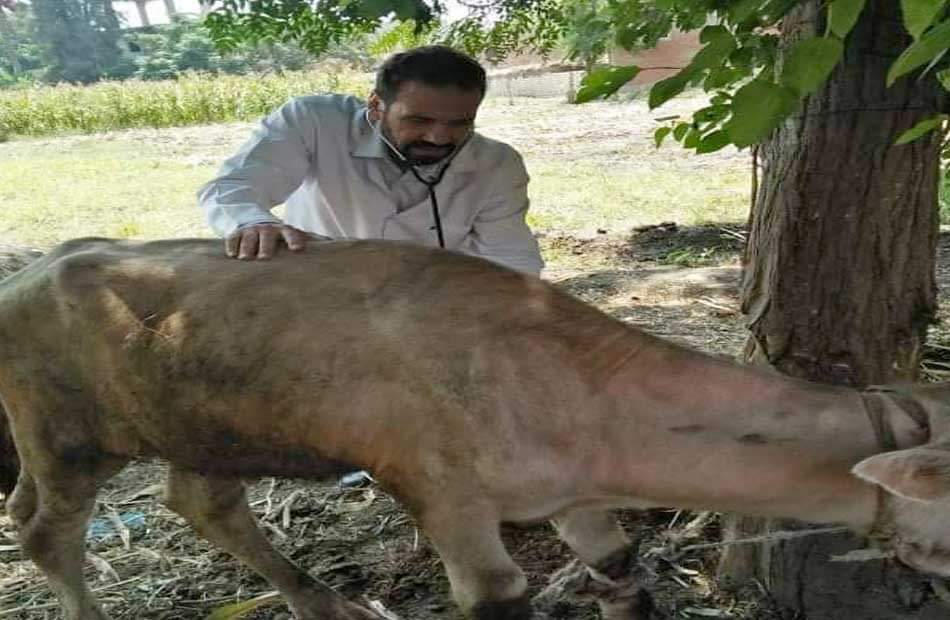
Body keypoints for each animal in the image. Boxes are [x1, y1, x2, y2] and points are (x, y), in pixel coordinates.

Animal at [1, 236, 949, 620]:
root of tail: (34, 269)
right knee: (45, 529)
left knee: (202, 503)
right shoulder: (444, 498)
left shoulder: (575, 495)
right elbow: (495, 594)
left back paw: (325, 601)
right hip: (63, 431)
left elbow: (618, 570)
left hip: (199, 423)